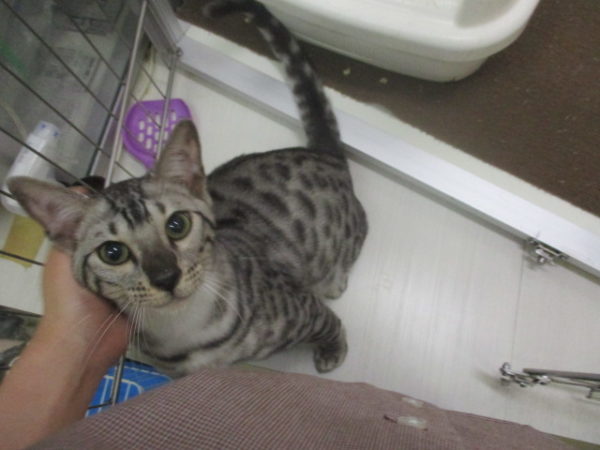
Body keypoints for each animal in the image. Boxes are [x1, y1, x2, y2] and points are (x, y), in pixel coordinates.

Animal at [8, 0, 367, 377]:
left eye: (177, 225)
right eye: (112, 252)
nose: (166, 276)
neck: (186, 330)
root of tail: (323, 153)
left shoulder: (300, 306)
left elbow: (328, 322)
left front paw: (333, 351)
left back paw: (336, 280)